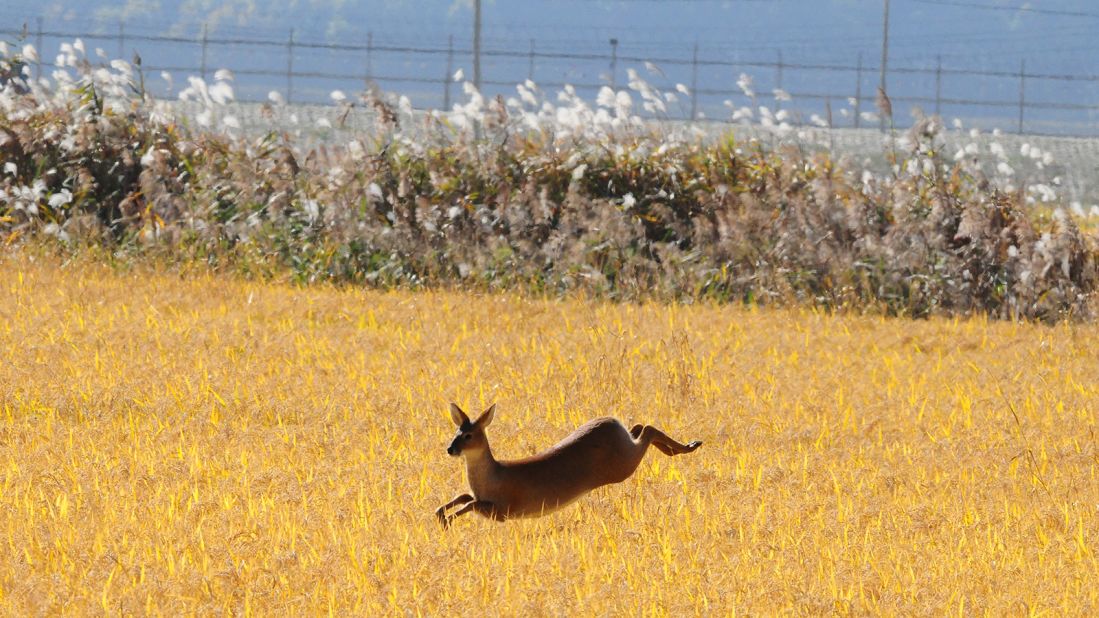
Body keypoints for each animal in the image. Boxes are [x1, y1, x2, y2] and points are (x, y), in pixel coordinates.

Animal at [433, 402, 698, 527]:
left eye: (468, 435)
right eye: (456, 432)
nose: (450, 449)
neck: (492, 476)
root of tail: (612, 421)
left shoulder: (504, 510)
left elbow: (471, 503)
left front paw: (448, 521)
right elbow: (463, 497)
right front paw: (440, 514)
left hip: (622, 465)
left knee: (649, 429)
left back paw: (689, 445)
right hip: (625, 451)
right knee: (639, 427)